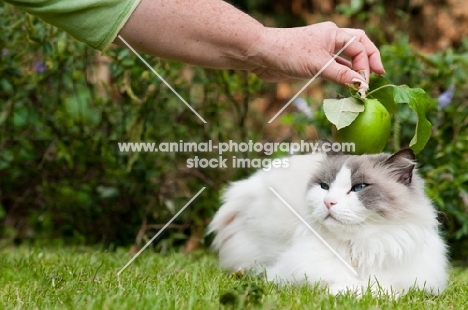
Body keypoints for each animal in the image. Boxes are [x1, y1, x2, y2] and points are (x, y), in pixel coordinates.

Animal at [207, 150, 446, 296]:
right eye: (324, 186)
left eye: (359, 187)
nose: (329, 202)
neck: (358, 249)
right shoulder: (290, 276)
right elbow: (343, 287)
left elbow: (386, 289)